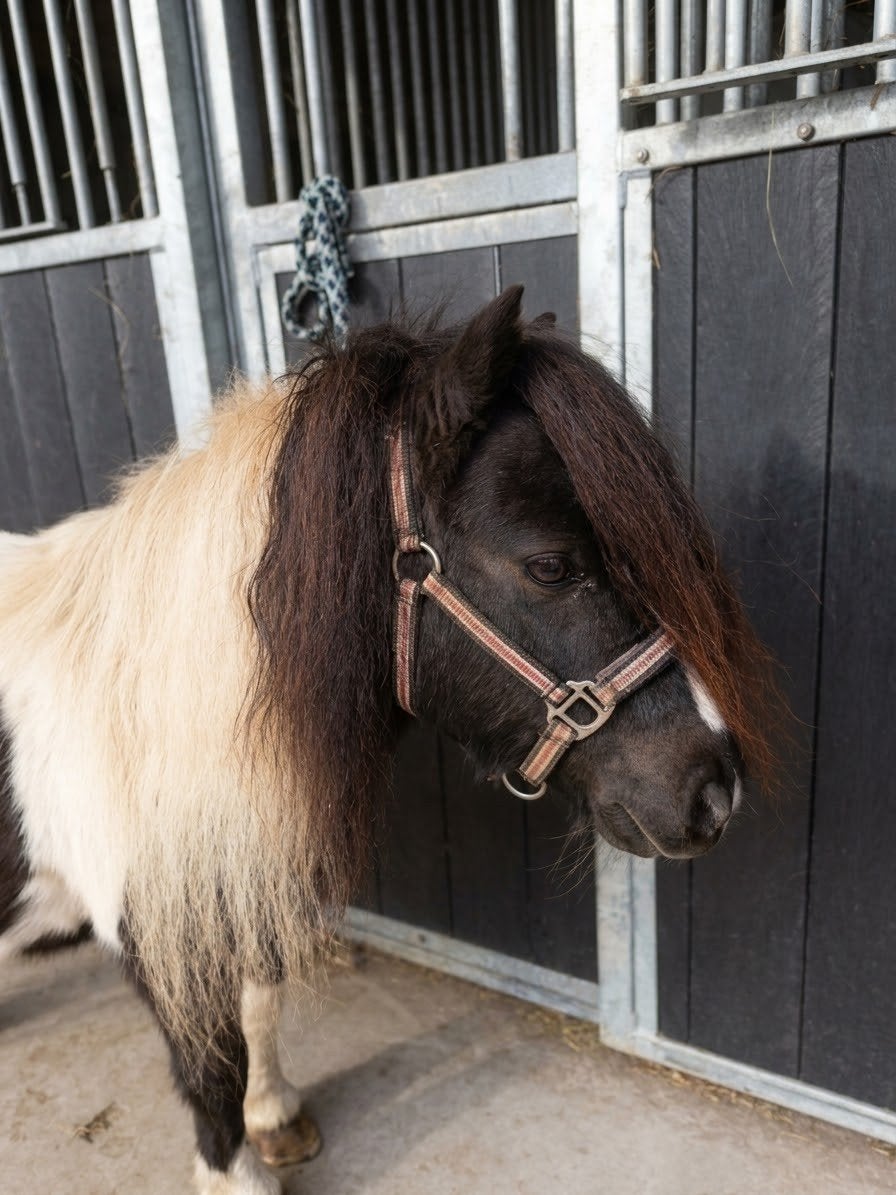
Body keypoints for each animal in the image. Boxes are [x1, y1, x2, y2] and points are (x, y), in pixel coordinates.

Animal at [0, 286, 779, 1194]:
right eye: (550, 566)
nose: (714, 787)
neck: (143, 699)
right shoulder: (161, 929)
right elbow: (211, 1072)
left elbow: (257, 1005)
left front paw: (275, 1114)